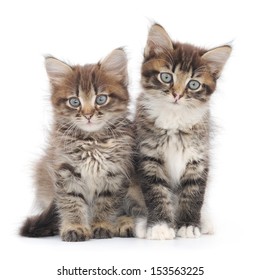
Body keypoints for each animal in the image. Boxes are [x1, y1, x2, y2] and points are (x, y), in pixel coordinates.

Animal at [135, 24, 231, 240]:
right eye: (166, 77)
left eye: (193, 84)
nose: (177, 95)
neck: (174, 119)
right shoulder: (148, 157)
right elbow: (157, 192)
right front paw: (160, 226)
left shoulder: (198, 158)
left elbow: (193, 194)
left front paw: (188, 225)